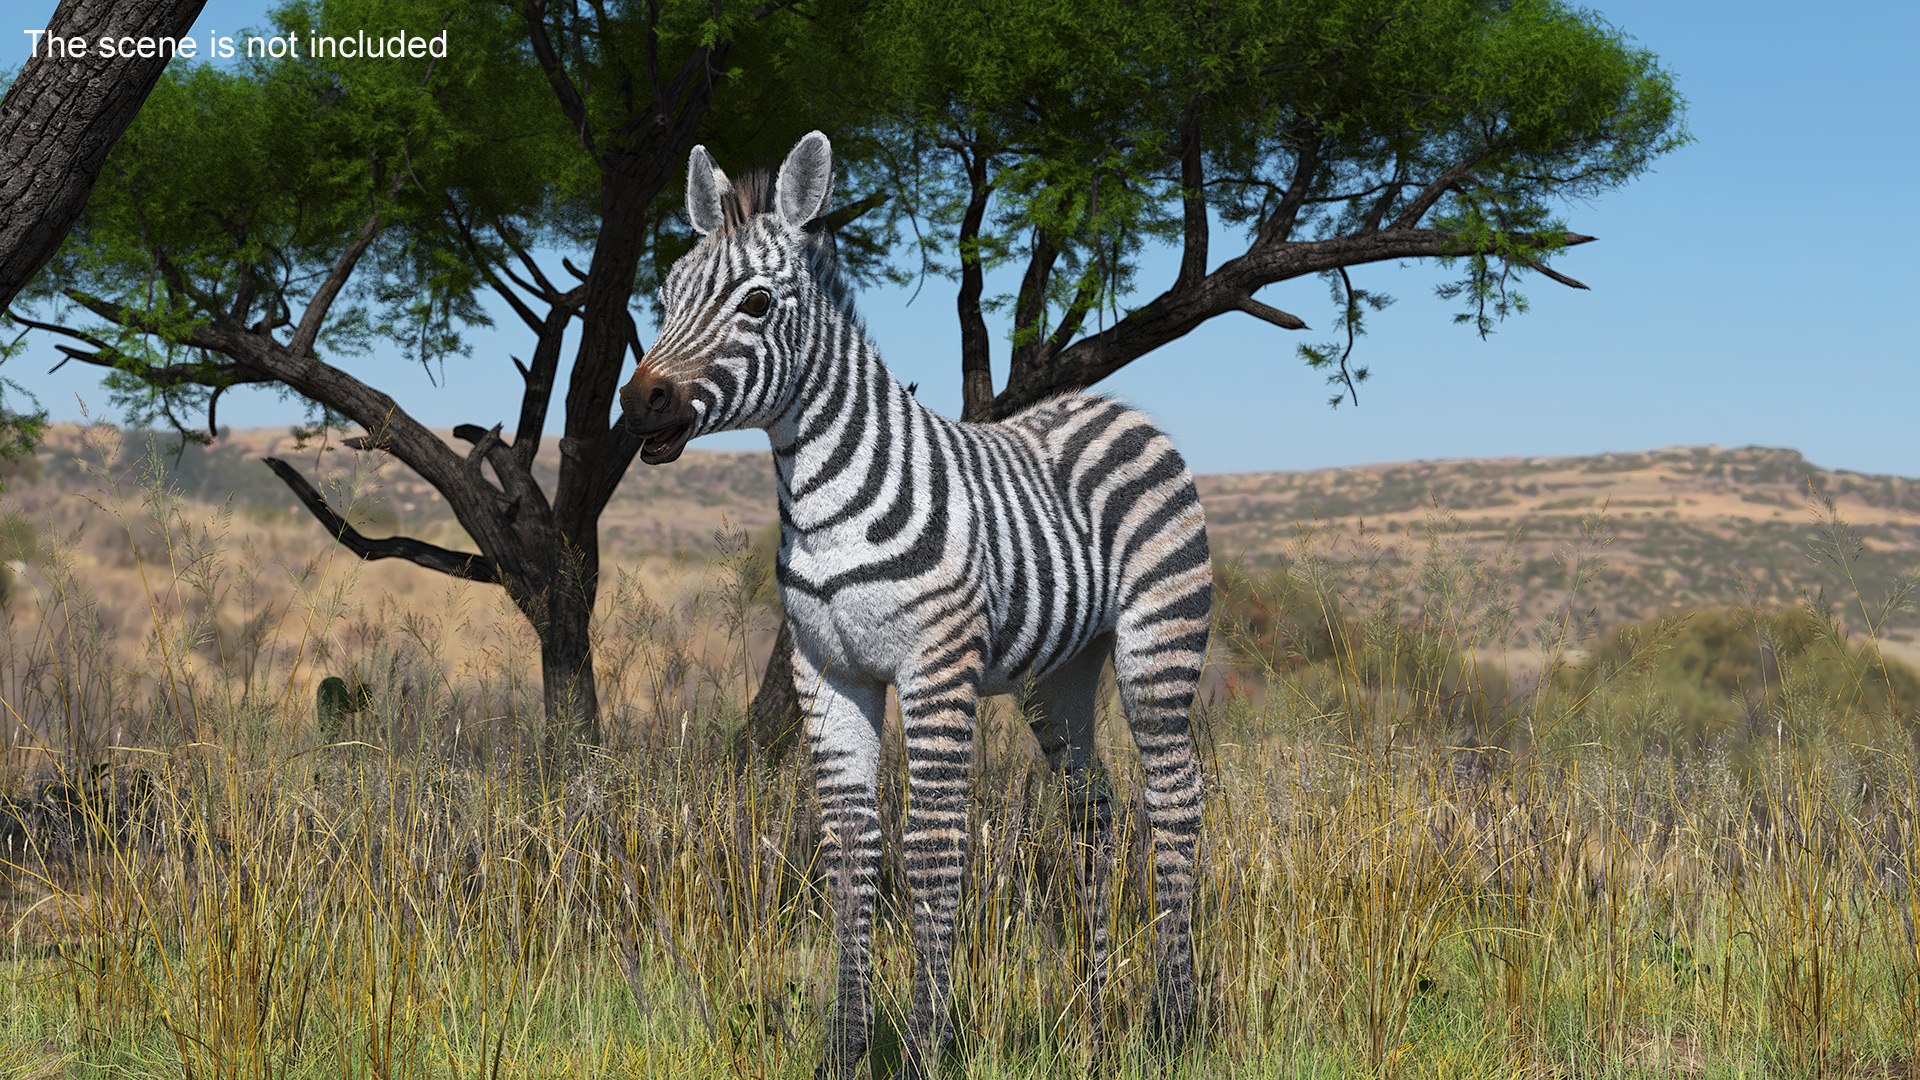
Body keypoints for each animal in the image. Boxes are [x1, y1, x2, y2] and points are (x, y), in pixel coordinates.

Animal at [621, 131, 1210, 1078]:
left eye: (757, 303)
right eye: (668, 296)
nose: (641, 402)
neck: (824, 506)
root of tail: (1115, 405)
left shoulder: (935, 670)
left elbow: (930, 850)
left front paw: (928, 1044)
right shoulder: (827, 674)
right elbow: (850, 850)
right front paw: (845, 1046)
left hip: (1159, 643)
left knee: (1176, 800)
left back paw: (1172, 1019)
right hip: (1058, 676)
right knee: (1094, 810)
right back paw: (1094, 1019)